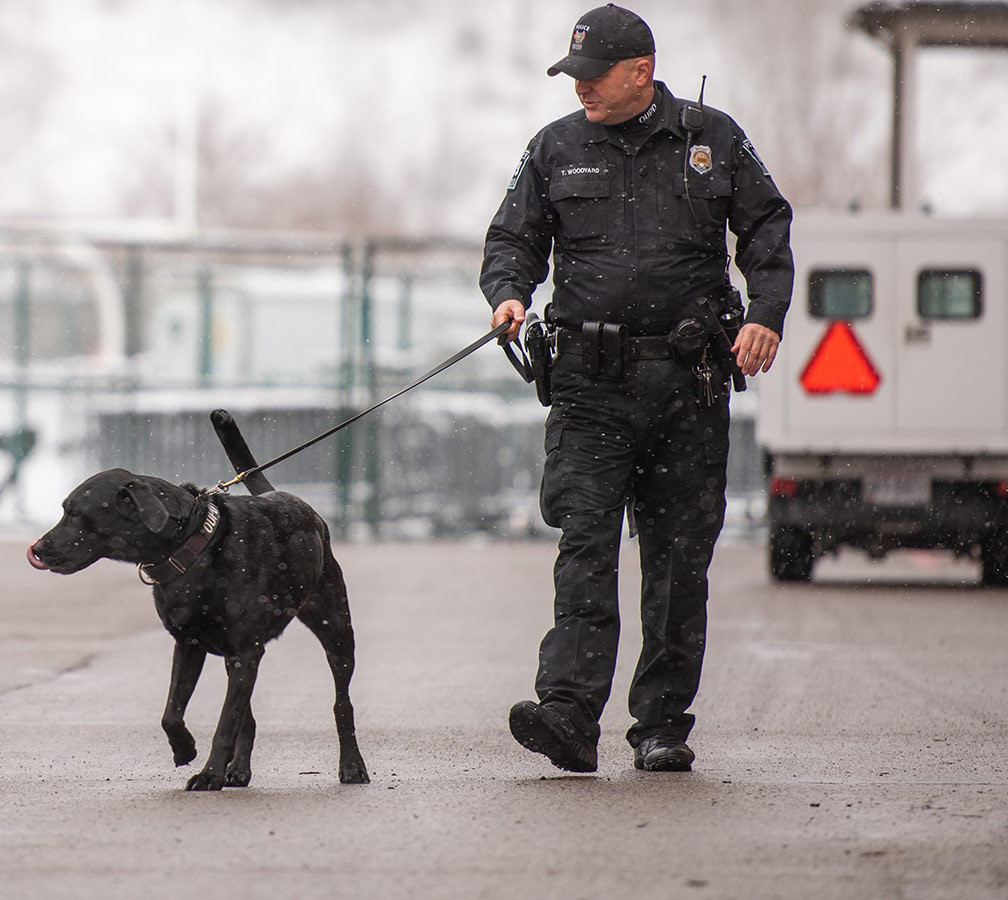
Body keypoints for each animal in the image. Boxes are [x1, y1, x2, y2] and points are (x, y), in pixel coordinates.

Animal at [25, 411, 368, 790]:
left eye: (73, 512)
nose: (38, 549)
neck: (193, 547)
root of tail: (282, 495)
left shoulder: (245, 652)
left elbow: (224, 724)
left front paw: (208, 774)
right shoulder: (189, 645)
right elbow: (173, 713)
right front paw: (185, 749)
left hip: (335, 629)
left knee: (341, 703)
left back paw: (352, 766)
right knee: (246, 717)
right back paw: (239, 770)